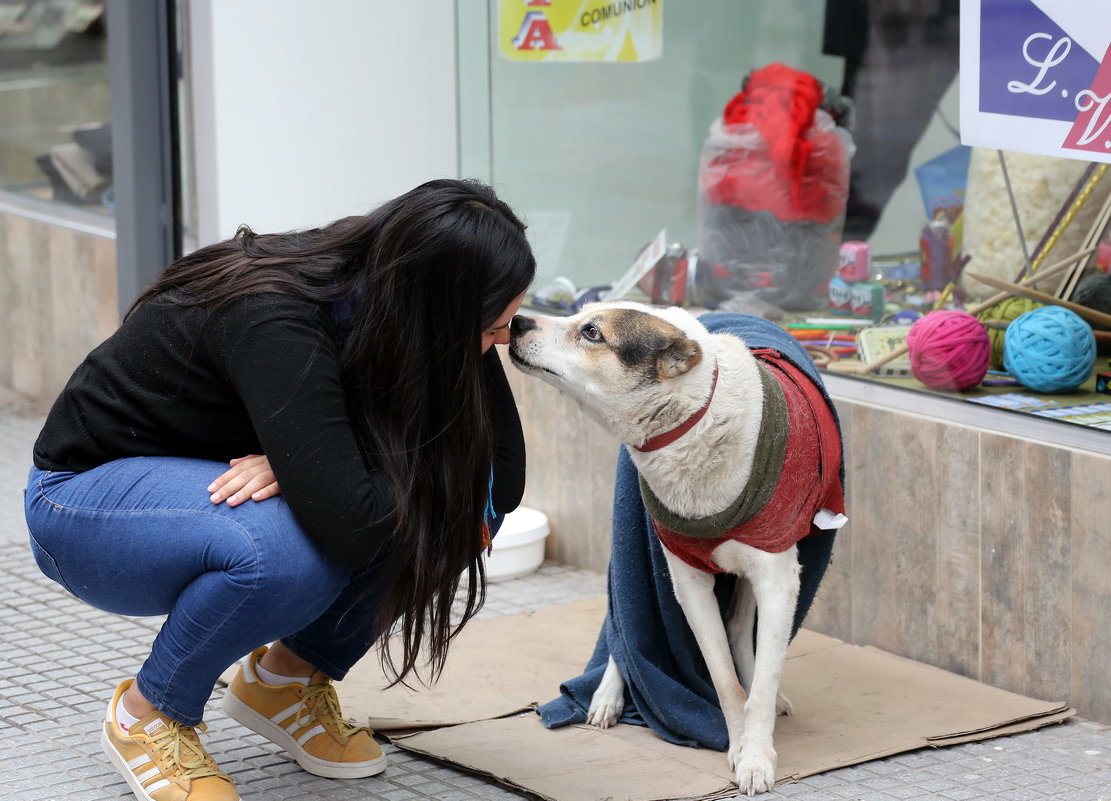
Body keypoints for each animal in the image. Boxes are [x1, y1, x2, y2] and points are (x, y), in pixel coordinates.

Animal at [508, 302, 844, 795]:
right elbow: (723, 681)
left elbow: (760, 681)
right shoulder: (687, 581)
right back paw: (608, 695)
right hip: (632, 536)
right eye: (579, 315)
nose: (516, 322)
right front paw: (739, 746)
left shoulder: (778, 579)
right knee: (620, 621)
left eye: (592, 333)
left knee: (741, 630)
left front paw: (756, 754)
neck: (696, 420)